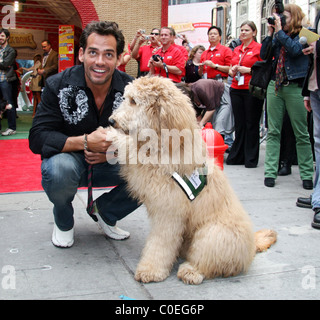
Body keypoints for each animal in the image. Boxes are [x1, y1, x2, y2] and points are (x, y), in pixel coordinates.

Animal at [107, 75, 276, 284]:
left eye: (133, 101)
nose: (111, 120)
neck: (166, 139)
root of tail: (251, 247)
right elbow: (130, 146)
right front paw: (107, 133)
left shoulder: (169, 210)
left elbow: (159, 244)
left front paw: (151, 270)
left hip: (213, 234)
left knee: (208, 261)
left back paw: (191, 271)